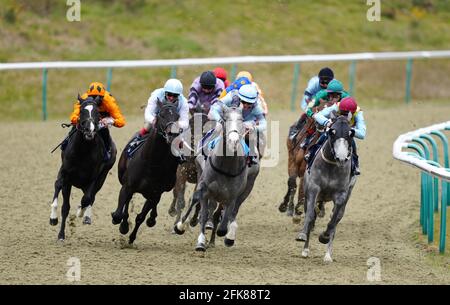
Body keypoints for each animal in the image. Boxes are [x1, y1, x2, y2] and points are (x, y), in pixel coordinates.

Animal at [49, 95, 117, 240]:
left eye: (97, 113)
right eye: (81, 111)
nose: (89, 131)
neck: (82, 151)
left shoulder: (93, 178)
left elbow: (86, 199)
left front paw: (81, 212)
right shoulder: (66, 175)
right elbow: (63, 201)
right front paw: (57, 226)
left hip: (102, 177)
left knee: (91, 197)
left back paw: (85, 215)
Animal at [112, 101, 181, 243]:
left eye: (177, 116)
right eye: (161, 114)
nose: (173, 134)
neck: (152, 163)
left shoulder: (155, 193)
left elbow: (140, 217)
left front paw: (132, 237)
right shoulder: (127, 186)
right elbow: (118, 214)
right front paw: (123, 226)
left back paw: (152, 219)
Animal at [175, 105, 262, 251]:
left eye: (241, 119)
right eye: (225, 119)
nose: (233, 140)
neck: (226, 166)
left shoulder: (232, 195)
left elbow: (225, 219)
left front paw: (227, 236)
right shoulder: (205, 189)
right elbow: (204, 214)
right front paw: (200, 241)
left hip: (247, 187)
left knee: (229, 212)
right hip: (200, 174)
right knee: (196, 200)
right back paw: (182, 225)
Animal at [298, 114, 356, 262]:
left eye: (350, 133)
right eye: (332, 132)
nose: (341, 158)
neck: (332, 166)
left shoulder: (341, 195)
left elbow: (333, 219)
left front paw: (324, 237)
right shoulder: (313, 188)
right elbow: (310, 215)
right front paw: (302, 236)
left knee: (336, 219)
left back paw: (328, 255)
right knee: (311, 214)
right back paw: (305, 249)